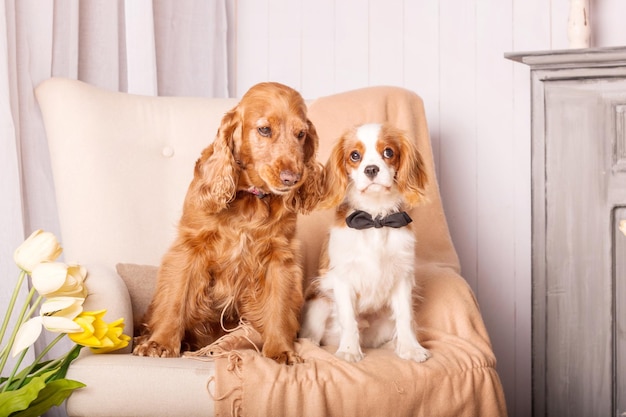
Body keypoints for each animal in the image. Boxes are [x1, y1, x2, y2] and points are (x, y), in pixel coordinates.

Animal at [302, 122, 428, 362]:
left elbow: (405, 317)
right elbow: (348, 319)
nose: (371, 169)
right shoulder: (342, 279)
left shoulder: (402, 276)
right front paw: (349, 351)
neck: (375, 219)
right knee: (313, 334)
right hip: (319, 304)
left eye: (388, 152)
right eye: (354, 155)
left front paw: (410, 349)